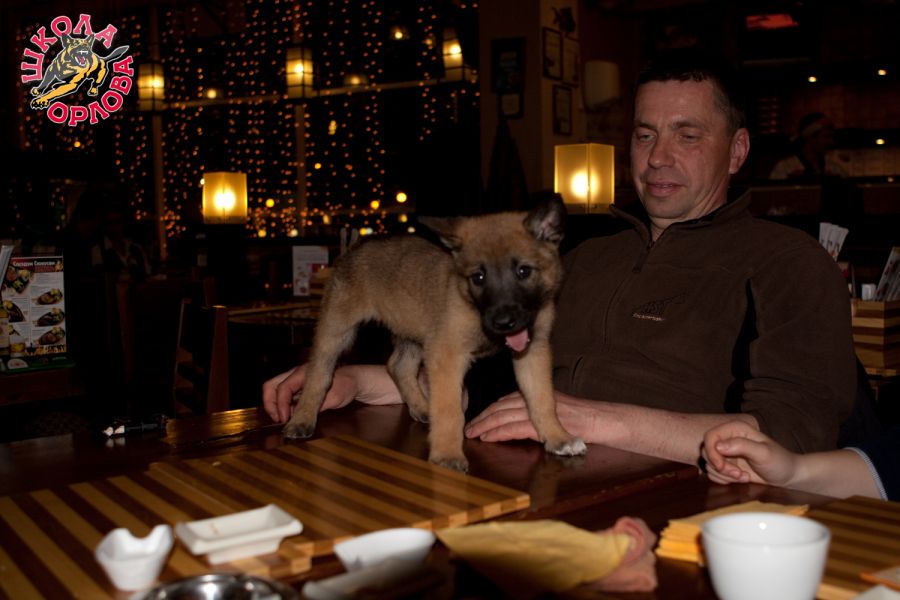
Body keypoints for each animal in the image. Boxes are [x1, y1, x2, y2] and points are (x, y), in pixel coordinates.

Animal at [283, 194, 587, 471]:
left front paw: (558, 437)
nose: (503, 322)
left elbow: (543, 399)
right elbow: (450, 410)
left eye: (524, 271)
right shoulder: (446, 355)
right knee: (318, 374)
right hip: (337, 330)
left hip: (414, 331)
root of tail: (354, 246)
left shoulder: (533, 352)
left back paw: (420, 406)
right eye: (478, 277)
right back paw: (302, 418)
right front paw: (446, 455)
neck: (473, 306)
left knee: (398, 366)